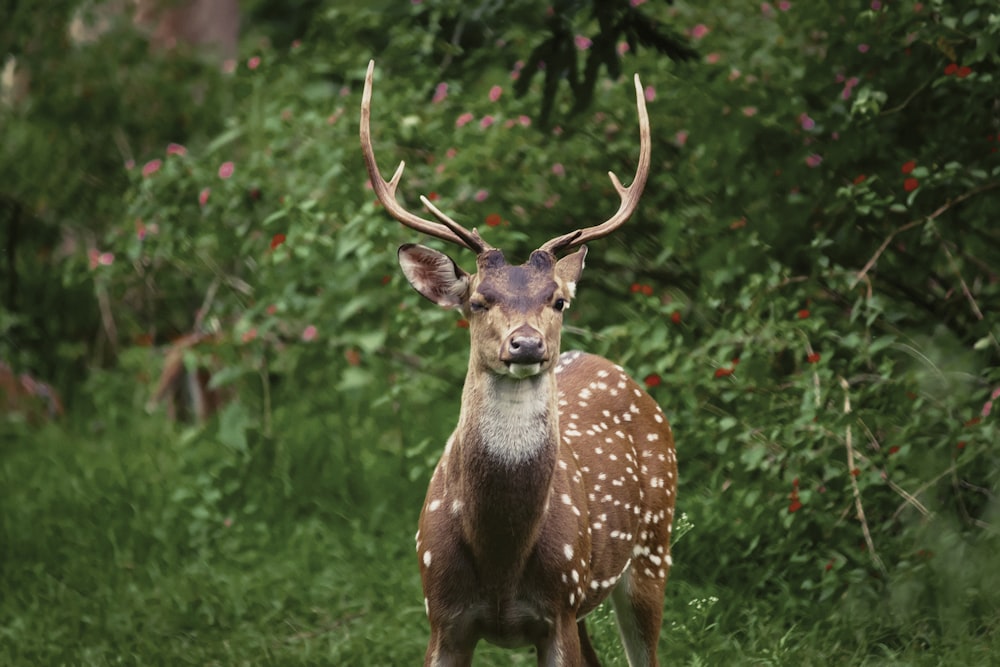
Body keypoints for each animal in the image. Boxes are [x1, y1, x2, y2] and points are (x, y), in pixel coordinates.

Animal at [358, 60, 672, 664]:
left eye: (558, 300)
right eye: (479, 300)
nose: (526, 345)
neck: (501, 554)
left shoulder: (559, 607)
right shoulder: (442, 614)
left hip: (653, 548)